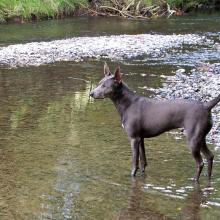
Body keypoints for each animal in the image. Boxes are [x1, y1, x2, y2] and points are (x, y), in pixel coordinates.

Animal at [90, 62, 220, 181]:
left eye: (104, 86)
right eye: (99, 83)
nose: (91, 93)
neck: (127, 104)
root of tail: (206, 106)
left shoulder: (134, 138)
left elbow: (134, 163)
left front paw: (132, 176)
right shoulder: (141, 138)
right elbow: (143, 162)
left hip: (193, 140)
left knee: (200, 163)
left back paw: (195, 181)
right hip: (200, 138)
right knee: (210, 156)